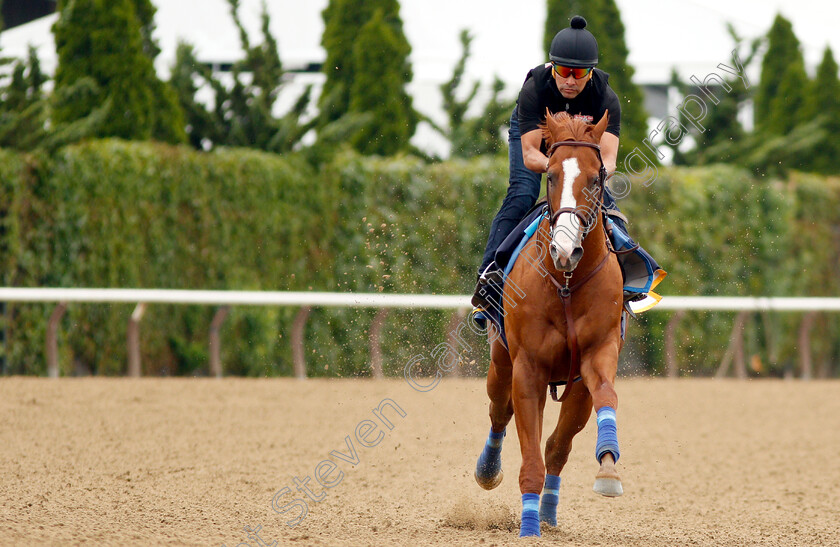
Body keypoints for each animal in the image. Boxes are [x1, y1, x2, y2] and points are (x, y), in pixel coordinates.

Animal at [472, 111, 624, 540]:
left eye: (595, 178)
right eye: (552, 176)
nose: (564, 249)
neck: (567, 283)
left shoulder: (597, 354)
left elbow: (605, 397)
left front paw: (609, 469)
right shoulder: (529, 367)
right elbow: (528, 455)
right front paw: (527, 528)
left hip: (573, 387)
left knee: (558, 446)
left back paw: (549, 514)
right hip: (500, 360)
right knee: (499, 411)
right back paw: (488, 470)